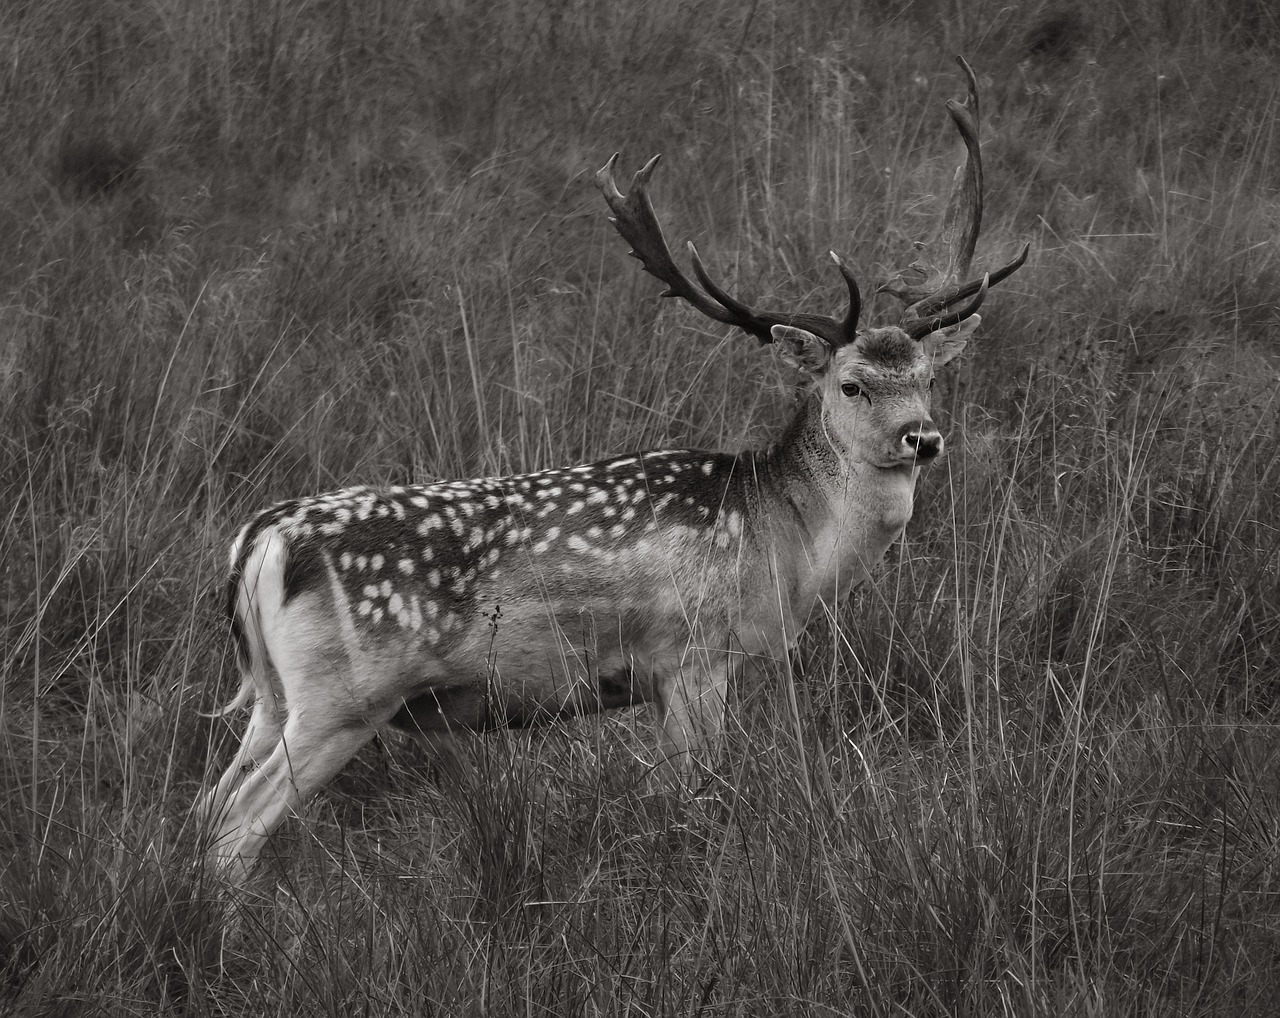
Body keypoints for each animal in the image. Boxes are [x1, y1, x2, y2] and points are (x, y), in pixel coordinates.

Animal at [199, 55, 1029, 870]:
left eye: (927, 378)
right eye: (851, 384)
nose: (922, 438)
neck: (783, 541)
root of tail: (258, 544)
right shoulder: (693, 655)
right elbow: (693, 796)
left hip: (275, 696)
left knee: (205, 804)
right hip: (345, 694)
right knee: (236, 823)